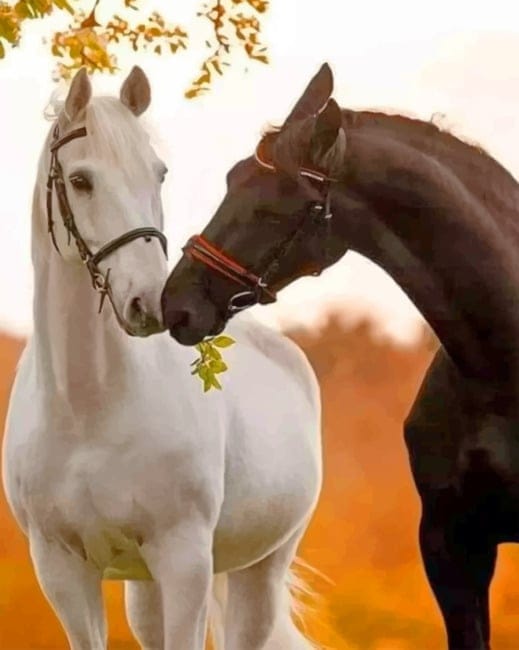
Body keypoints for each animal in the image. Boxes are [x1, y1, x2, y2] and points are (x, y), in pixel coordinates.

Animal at [1, 66, 323, 650]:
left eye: (159, 174)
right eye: (80, 181)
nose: (151, 302)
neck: (90, 409)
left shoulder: (185, 561)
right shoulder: (61, 570)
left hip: (259, 570)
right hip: (145, 585)